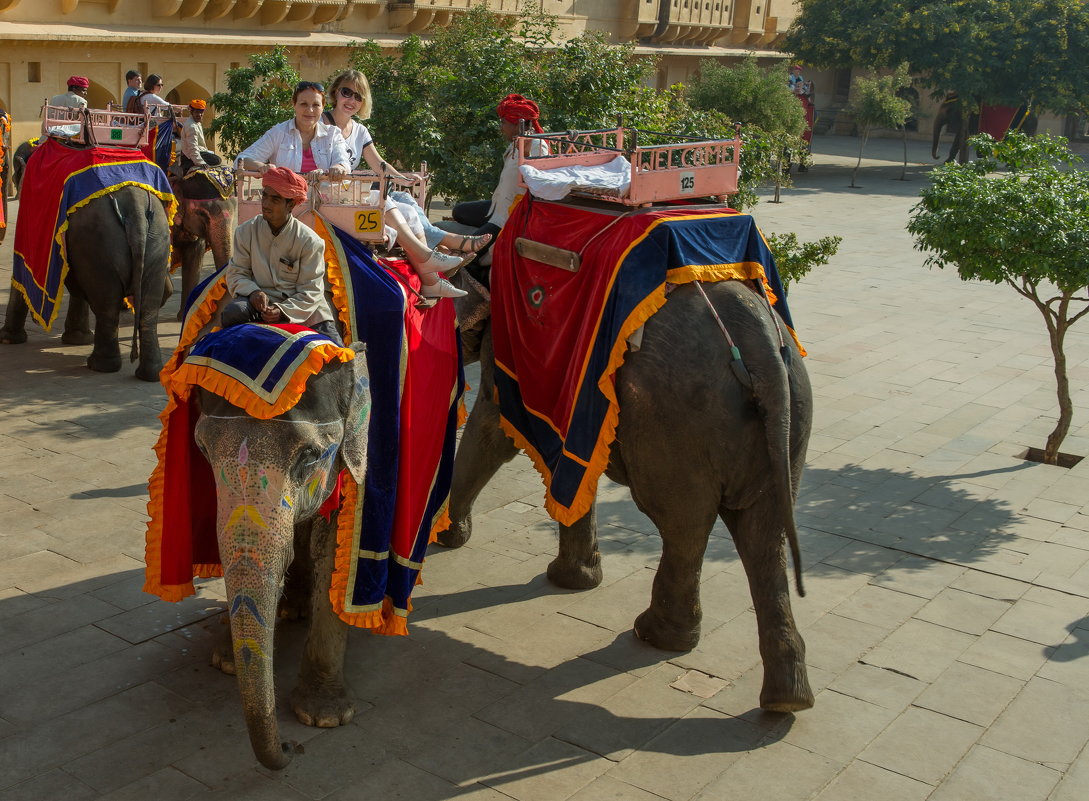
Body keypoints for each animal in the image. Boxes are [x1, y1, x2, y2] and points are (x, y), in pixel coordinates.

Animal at [1, 186, 170, 380]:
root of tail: (136, 209)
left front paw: (7, 339)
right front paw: (77, 340)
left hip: (101, 246)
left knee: (107, 307)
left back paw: (99, 366)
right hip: (156, 243)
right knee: (148, 310)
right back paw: (151, 374)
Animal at [192, 341, 370, 770]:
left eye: (309, 456)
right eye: (202, 448)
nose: (290, 748)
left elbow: (333, 546)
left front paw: (323, 717)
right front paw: (225, 662)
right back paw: (290, 610)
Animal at [437, 274, 814, 713]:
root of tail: (760, 343)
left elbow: (494, 430)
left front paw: (445, 537)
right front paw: (575, 580)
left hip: (672, 419)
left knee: (685, 527)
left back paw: (656, 635)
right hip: (789, 418)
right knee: (764, 535)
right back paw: (787, 701)